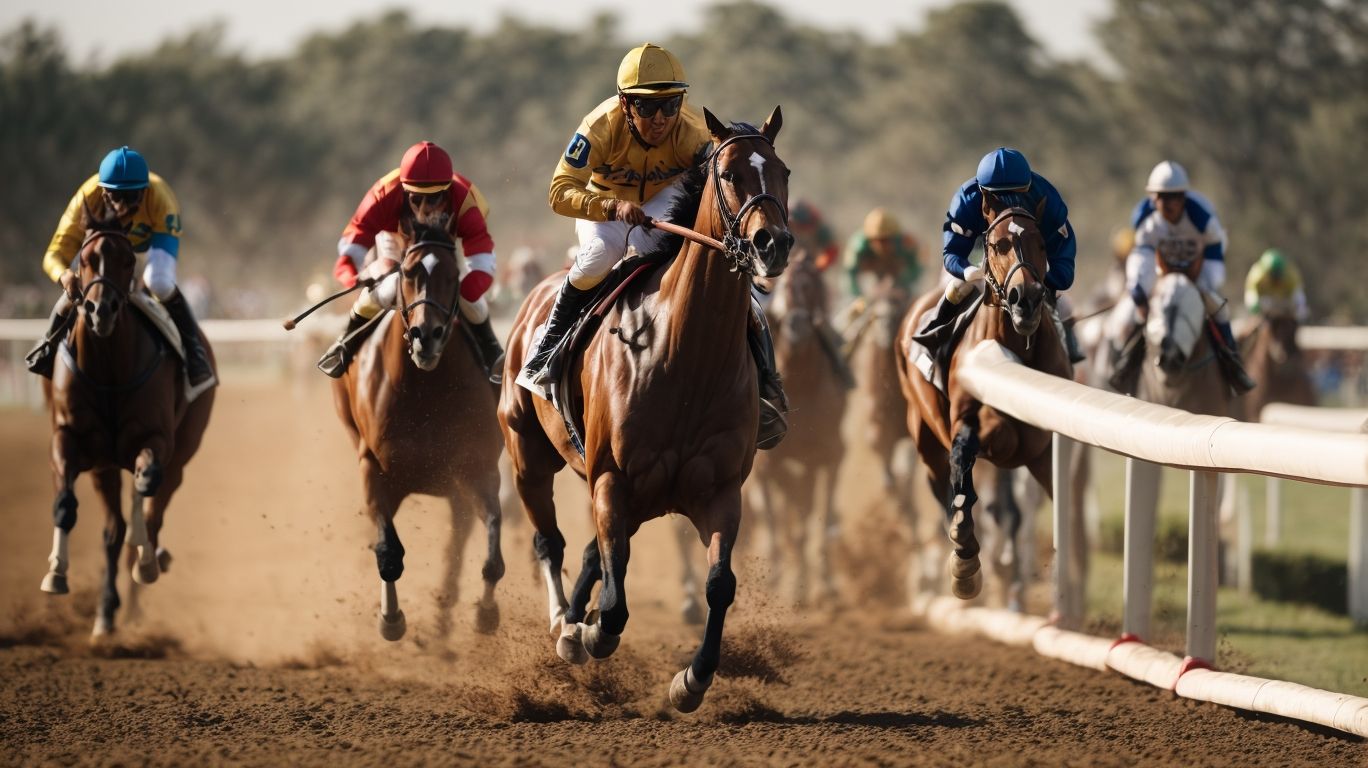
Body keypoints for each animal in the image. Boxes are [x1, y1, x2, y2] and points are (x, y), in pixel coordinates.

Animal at [39, 208, 215, 638]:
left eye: (126, 261)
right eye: (85, 260)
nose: (100, 311)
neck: (109, 369)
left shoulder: (157, 439)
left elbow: (147, 486)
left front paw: (149, 559)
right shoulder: (69, 439)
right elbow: (66, 505)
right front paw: (56, 574)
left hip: (182, 452)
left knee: (151, 508)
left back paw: (146, 568)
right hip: (105, 467)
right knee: (113, 530)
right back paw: (107, 612)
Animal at [331, 221, 504, 642]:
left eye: (453, 275)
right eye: (409, 274)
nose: (428, 335)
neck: (425, 389)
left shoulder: (478, 471)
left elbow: (492, 551)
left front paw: (485, 613)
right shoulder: (374, 471)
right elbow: (388, 552)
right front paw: (390, 618)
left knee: (458, 538)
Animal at [499, 108, 791, 713]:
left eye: (783, 172)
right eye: (729, 174)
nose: (773, 243)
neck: (683, 356)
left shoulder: (719, 490)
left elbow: (719, 584)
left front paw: (691, 680)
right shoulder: (613, 477)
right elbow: (613, 607)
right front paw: (588, 632)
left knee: (591, 551)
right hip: (528, 453)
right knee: (550, 540)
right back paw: (563, 623)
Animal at [746, 248, 848, 606]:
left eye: (812, 284)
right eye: (780, 285)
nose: (796, 325)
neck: (802, 380)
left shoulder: (824, 459)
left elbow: (815, 520)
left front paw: (818, 585)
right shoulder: (767, 467)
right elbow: (776, 522)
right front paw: (778, 578)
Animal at [897, 196, 1072, 602]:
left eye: (1043, 243)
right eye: (997, 245)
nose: (1026, 299)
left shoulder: (1041, 445)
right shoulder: (968, 424)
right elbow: (963, 467)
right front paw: (965, 562)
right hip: (924, 436)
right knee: (941, 484)